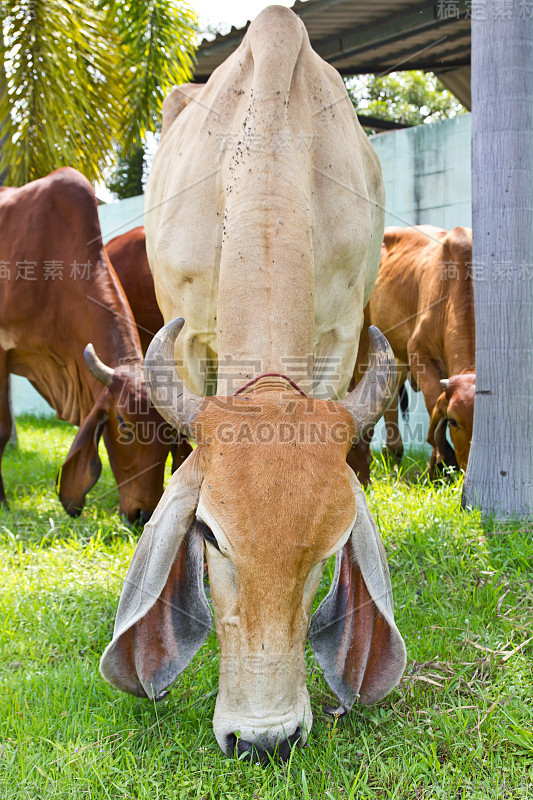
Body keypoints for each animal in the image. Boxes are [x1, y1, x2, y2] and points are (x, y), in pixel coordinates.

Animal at [350, 222, 474, 478]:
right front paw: (439, 465)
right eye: (454, 421)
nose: (468, 469)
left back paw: (393, 454)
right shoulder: (420, 354)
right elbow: (432, 402)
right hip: (364, 342)